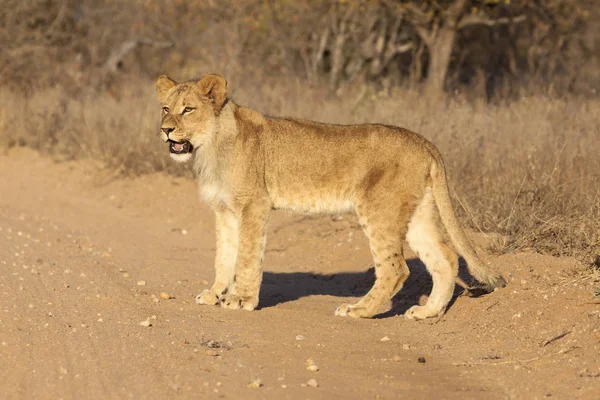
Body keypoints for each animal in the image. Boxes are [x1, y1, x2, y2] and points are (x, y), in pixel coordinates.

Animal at [155, 74, 506, 318]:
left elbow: (247, 255)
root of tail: (424, 142)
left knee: (396, 268)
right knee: (445, 258)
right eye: (165, 109)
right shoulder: (225, 211)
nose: (165, 130)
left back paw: (358, 310)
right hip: (417, 213)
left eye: (188, 110)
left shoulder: (254, 205)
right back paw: (426, 312)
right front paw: (215, 294)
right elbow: (224, 256)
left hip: (378, 210)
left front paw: (241, 299)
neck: (210, 147)